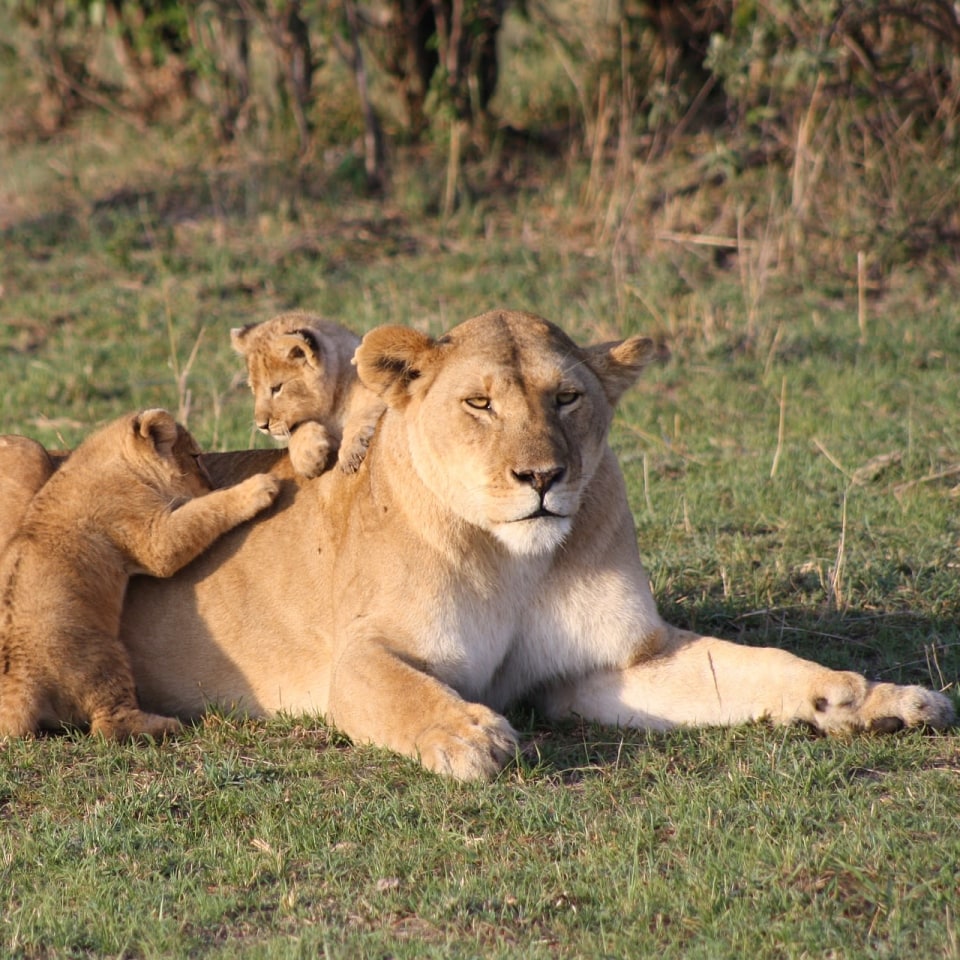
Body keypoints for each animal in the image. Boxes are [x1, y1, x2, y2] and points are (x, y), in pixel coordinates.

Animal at [0, 408, 280, 740]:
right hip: (106, 656)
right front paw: (259, 487)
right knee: (109, 727)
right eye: (195, 456)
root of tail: (21, 681)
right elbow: (200, 514)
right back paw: (167, 724)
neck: (105, 458)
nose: (212, 485)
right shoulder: (151, 538)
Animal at [231, 311, 385, 476]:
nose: (262, 426)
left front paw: (351, 453)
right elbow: (296, 432)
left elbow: (364, 412)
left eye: (277, 388)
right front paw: (307, 457)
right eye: (253, 389)